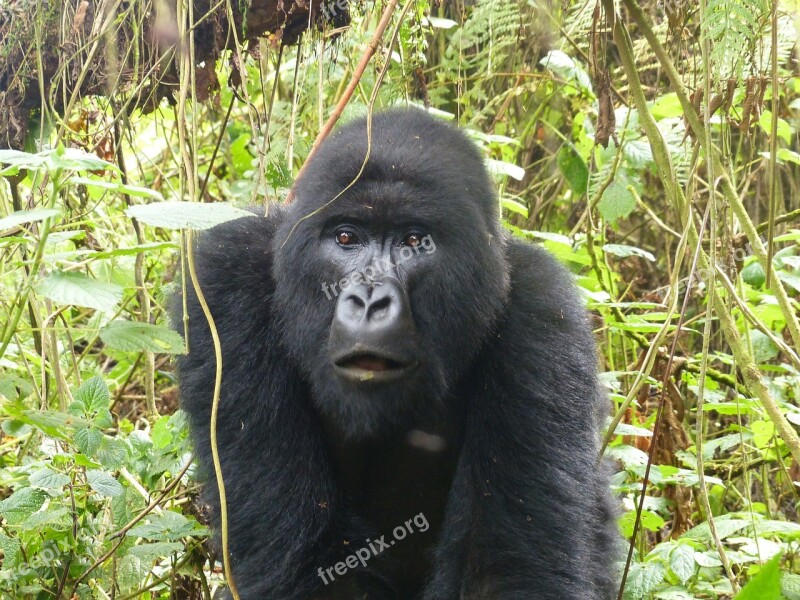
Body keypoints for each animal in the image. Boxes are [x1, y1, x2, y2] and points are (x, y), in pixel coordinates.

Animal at [177, 109, 620, 600]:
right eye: (346, 237)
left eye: (413, 241)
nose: (370, 301)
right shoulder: (224, 282)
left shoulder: (544, 311)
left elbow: (505, 570)